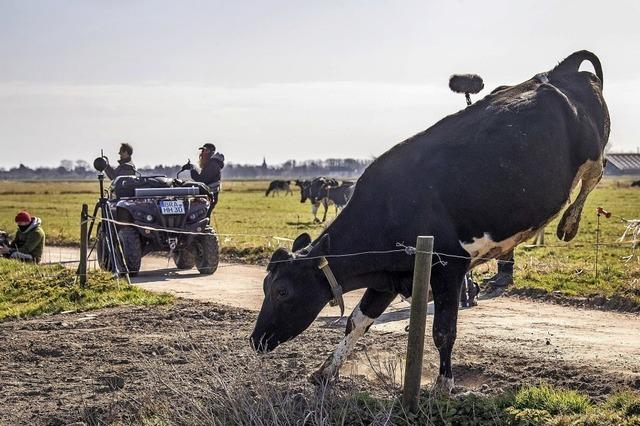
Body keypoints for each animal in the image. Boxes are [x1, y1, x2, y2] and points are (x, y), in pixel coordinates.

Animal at [250, 51, 608, 392]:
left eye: (282, 291)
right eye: (266, 286)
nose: (255, 339)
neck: (387, 211)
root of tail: (559, 70)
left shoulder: (448, 266)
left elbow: (443, 331)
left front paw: (443, 385)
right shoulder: (389, 278)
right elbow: (357, 320)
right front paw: (326, 371)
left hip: (591, 147)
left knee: (595, 172)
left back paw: (569, 223)